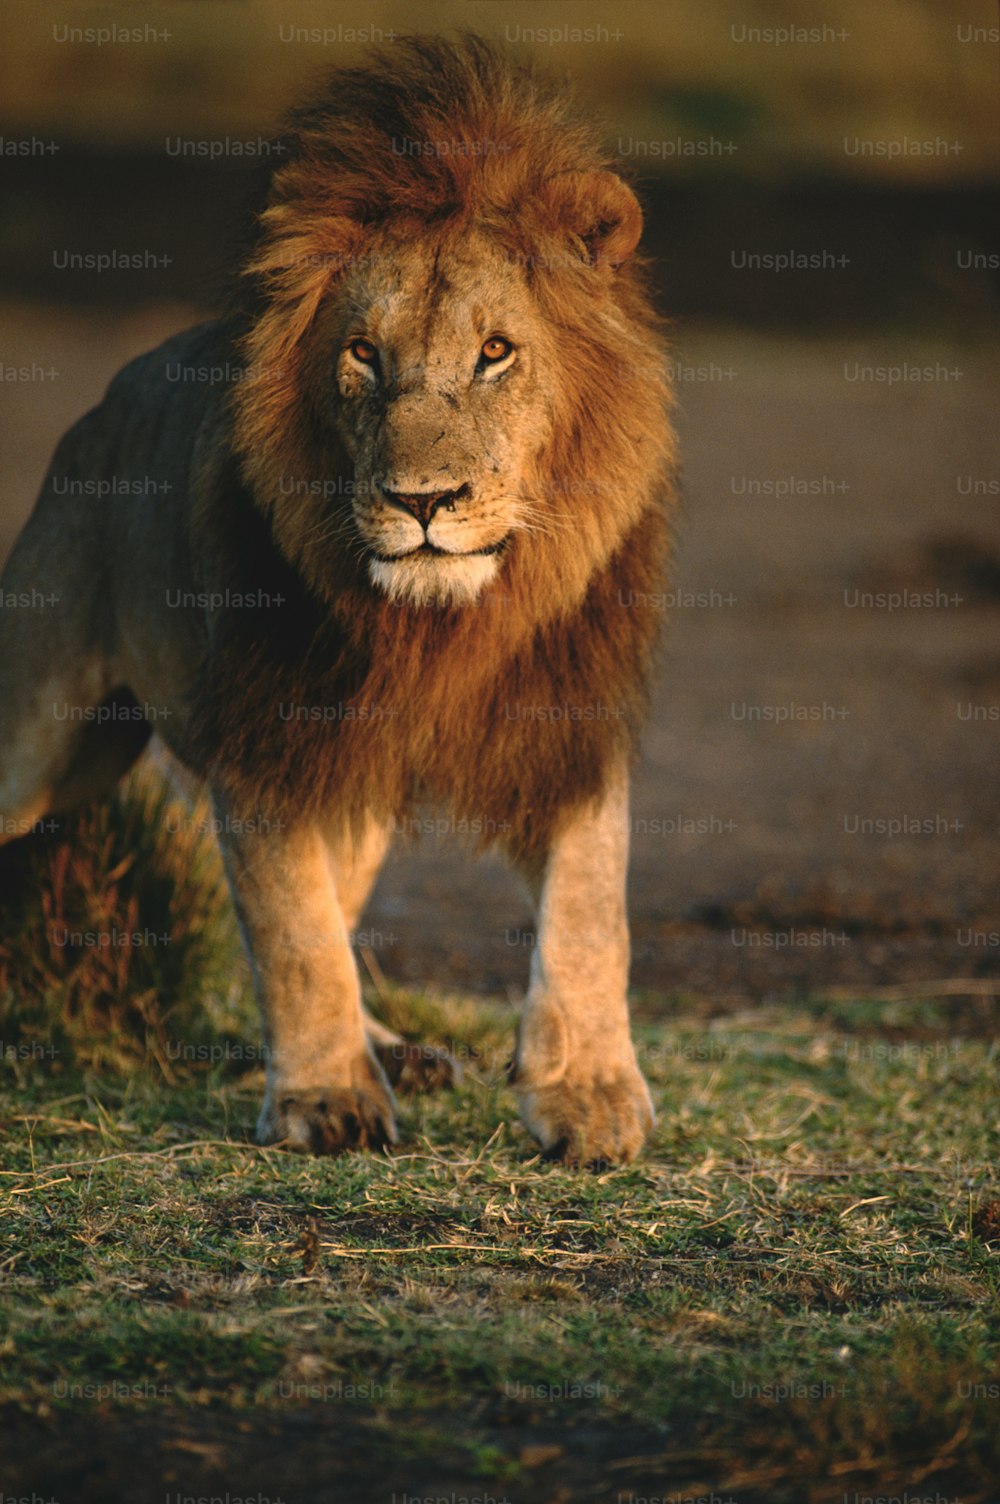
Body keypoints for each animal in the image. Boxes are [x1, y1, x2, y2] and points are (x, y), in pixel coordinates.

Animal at [1, 32, 670, 1161]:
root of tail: (102, 402)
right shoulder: (271, 740)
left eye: (496, 351)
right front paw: (326, 1098)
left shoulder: (565, 713)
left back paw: (400, 1048)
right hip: (36, 741)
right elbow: (295, 932)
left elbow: (590, 907)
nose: (423, 501)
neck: (446, 621)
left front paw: (586, 1091)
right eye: (363, 353)